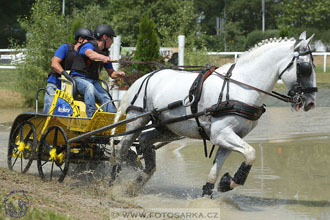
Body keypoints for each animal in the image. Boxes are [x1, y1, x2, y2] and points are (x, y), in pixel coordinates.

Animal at [110, 31, 318, 197]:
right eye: (306, 68)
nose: (311, 102)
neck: (242, 86)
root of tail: (144, 77)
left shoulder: (230, 137)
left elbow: (216, 171)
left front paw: (220, 186)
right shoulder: (222, 134)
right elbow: (251, 153)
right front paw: (230, 182)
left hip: (167, 128)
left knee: (145, 140)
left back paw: (138, 180)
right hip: (137, 121)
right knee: (122, 148)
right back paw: (112, 181)